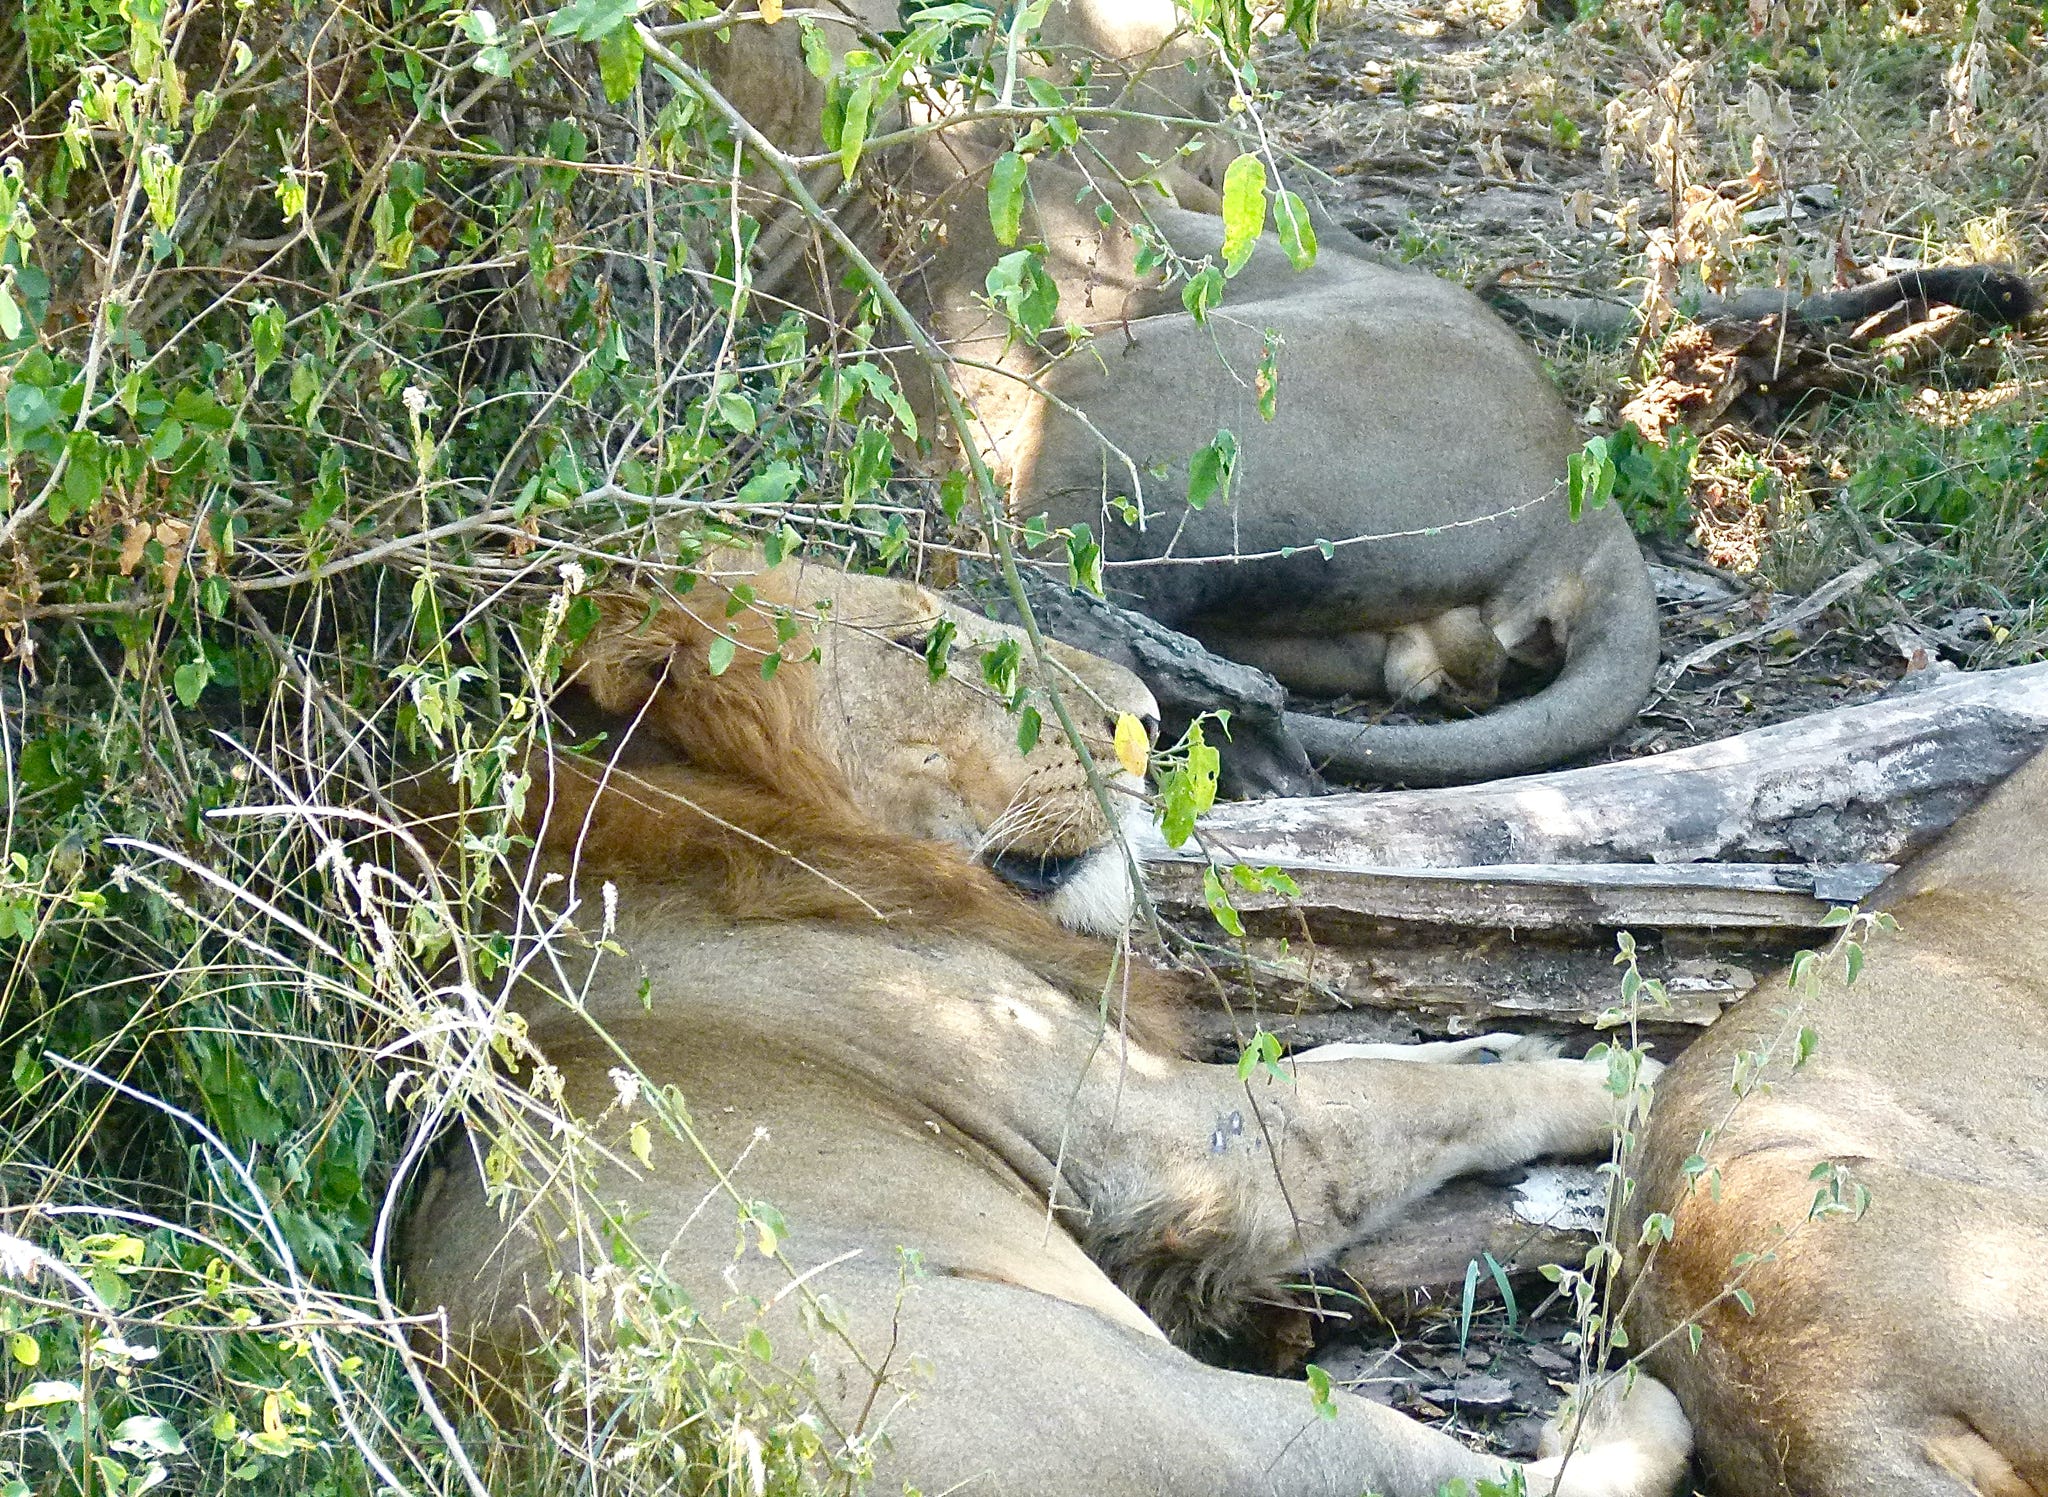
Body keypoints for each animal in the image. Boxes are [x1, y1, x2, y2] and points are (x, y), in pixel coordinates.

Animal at [399, 555, 1691, 1496]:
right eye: (916, 646)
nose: (1145, 716)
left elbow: (1354, 1060)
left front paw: (1505, 1040)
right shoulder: (1156, 1148)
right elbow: (1378, 1100)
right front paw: (1614, 1078)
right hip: (1221, 1415)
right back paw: (1613, 1403)